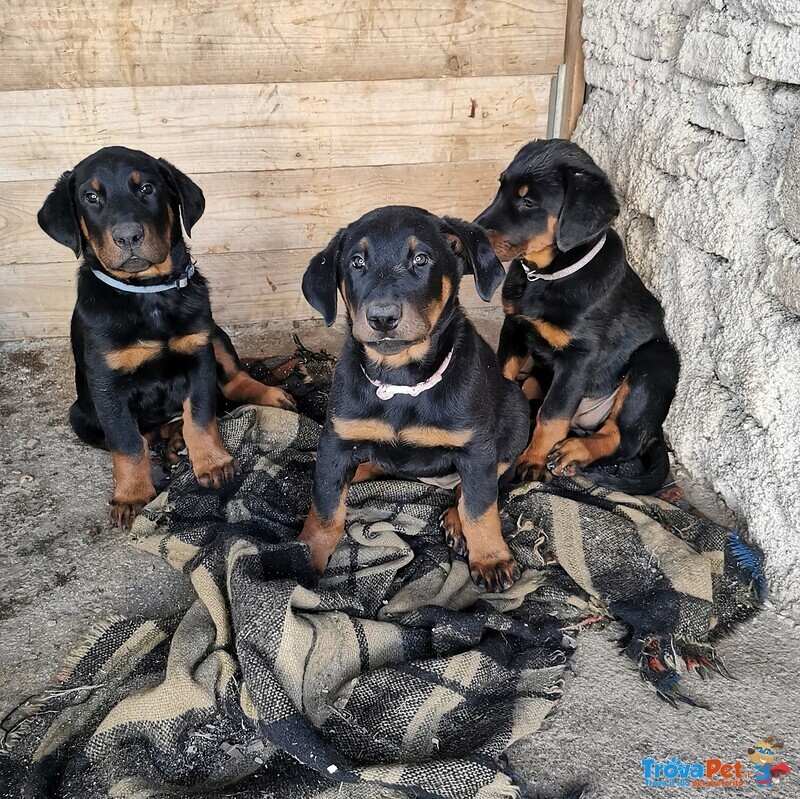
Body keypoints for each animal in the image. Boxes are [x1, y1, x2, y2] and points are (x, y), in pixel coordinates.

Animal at [296, 206, 528, 592]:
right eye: (356, 261)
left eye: (421, 259)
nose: (382, 317)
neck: (401, 383)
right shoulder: (337, 438)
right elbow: (326, 507)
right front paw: (303, 558)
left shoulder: (476, 448)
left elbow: (481, 506)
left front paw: (492, 558)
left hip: (516, 412)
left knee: (480, 486)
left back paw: (456, 522)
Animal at [478, 141, 680, 490]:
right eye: (501, 187)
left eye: (528, 201)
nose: (473, 231)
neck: (547, 276)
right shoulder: (514, 327)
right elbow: (503, 374)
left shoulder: (580, 357)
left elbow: (553, 413)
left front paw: (533, 460)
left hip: (656, 361)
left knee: (622, 439)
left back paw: (575, 451)